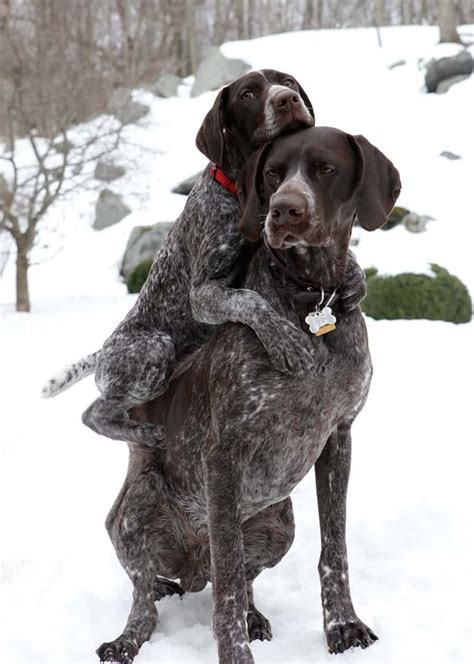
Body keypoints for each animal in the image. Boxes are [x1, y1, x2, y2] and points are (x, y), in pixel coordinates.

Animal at [42, 68, 402, 664]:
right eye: (274, 174)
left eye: (326, 168)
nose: (285, 209)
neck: (309, 298)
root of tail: (190, 571)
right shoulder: (225, 452)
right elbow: (227, 585)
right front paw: (234, 654)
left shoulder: (339, 438)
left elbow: (334, 551)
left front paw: (343, 626)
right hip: (139, 476)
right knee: (149, 591)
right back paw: (128, 637)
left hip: (278, 523)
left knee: (240, 577)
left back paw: (254, 615)